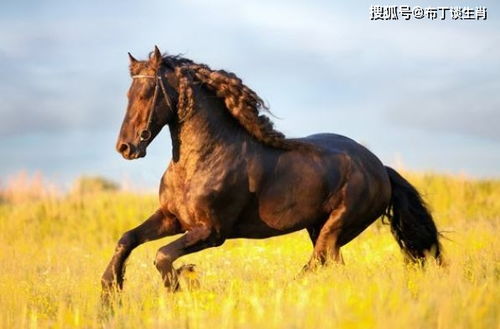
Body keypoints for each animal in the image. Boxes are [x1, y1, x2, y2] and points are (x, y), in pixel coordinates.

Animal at [100, 46, 442, 294]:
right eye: (128, 95)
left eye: (147, 94)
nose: (126, 148)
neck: (201, 161)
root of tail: (380, 168)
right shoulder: (172, 218)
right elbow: (127, 239)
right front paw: (110, 291)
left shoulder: (212, 232)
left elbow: (162, 256)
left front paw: (184, 282)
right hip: (319, 227)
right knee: (331, 264)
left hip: (336, 226)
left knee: (318, 261)